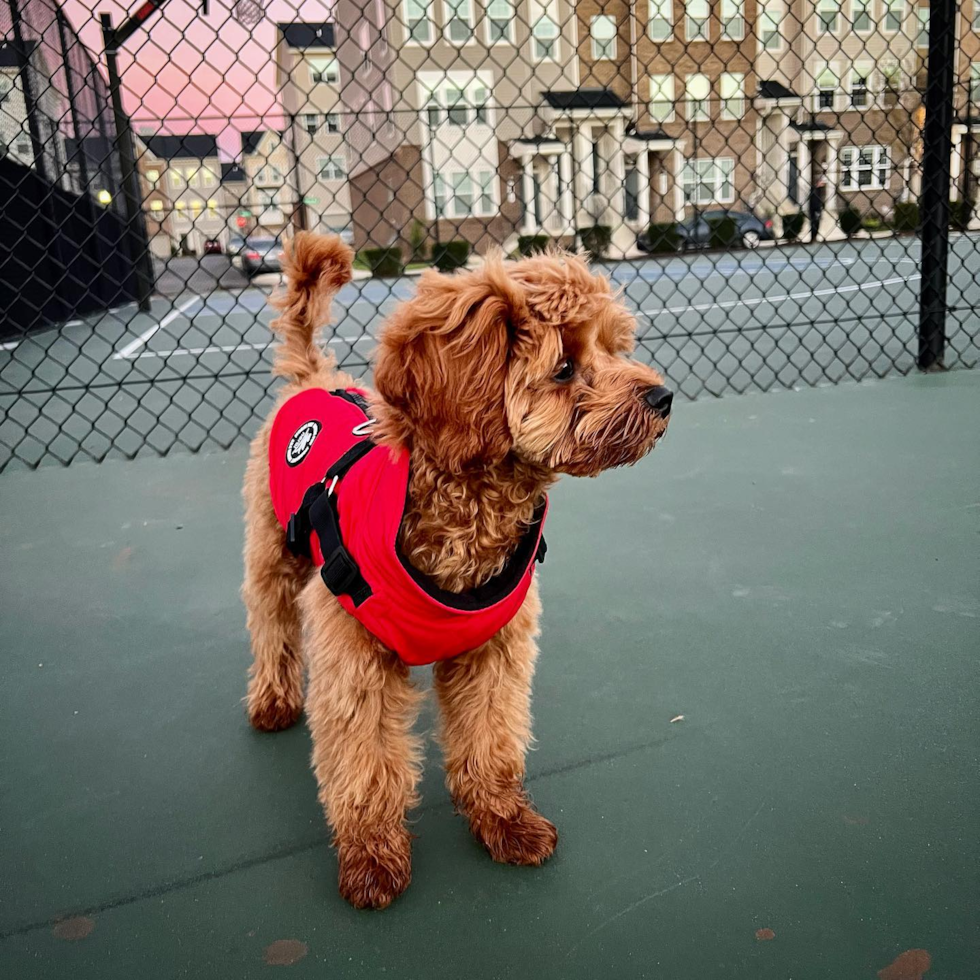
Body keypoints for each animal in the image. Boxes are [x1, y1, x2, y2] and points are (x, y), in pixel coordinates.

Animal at [243, 232, 672, 912]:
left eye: (614, 345)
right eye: (564, 367)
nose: (663, 398)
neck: (469, 515)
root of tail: (314, 378)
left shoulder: (495, 652)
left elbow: (489, 739)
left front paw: (503, 820)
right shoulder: (354, 656)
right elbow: (365, 762)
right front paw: (371, 856)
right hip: (272, 554)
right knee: (270, 623)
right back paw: (274, 697)